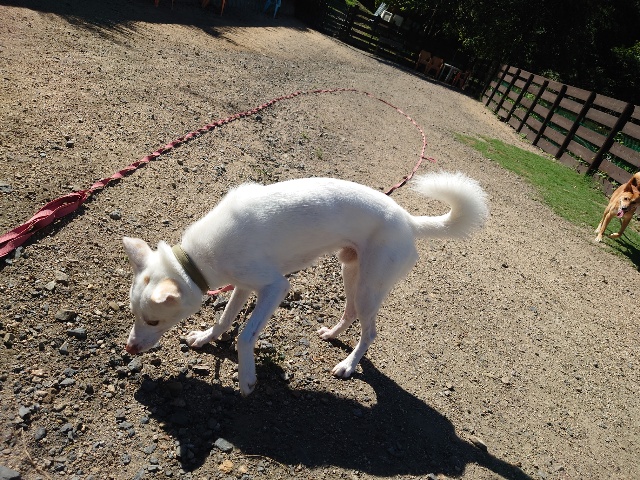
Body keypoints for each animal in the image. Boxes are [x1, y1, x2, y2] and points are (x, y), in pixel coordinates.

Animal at [123, 172, 489, 396]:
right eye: (134, 316)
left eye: (153, 321)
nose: (129, 349)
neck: (195, 260)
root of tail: (411, 222)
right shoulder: (245, 285)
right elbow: (225, 319)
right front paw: (204, 337)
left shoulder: (274, 288)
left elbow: (244, 336)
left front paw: (247, 379)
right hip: (351, 271)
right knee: (350, 311)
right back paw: (332, 334)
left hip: (371, 286)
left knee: (370, 332)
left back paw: (348, 365)